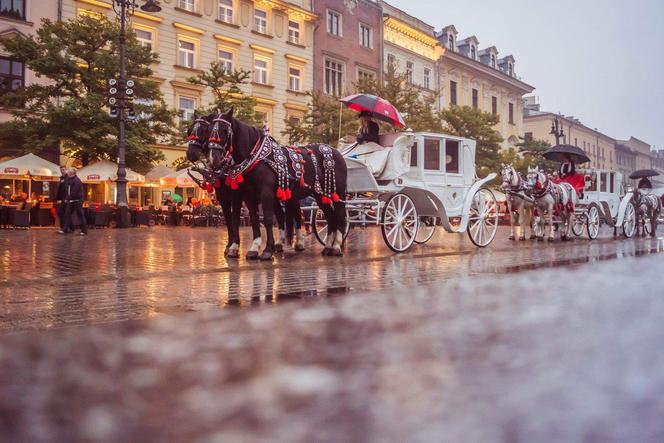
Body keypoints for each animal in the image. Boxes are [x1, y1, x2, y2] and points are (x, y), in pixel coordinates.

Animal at [185, 112, 264, 260]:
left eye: (205, 130)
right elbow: (227, 219)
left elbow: (235, 219)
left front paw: (234, 247)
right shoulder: (222, 197)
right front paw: (229, 245)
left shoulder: (236, 196)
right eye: (190, 129)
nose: (191, 153)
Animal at [204, 109, 348, 260]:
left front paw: (268, 250)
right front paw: (254, 248)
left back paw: (336, 246)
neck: (256, 158)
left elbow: (267, 218)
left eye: (225, 130)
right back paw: (327, 247)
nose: (213, 158)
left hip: (337, 192)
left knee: (340, 215)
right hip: (320, 194)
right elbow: (254, 219)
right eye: (208, 130)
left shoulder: (265, 192)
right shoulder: (248, 195)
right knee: (330, 217)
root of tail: (336, 151)